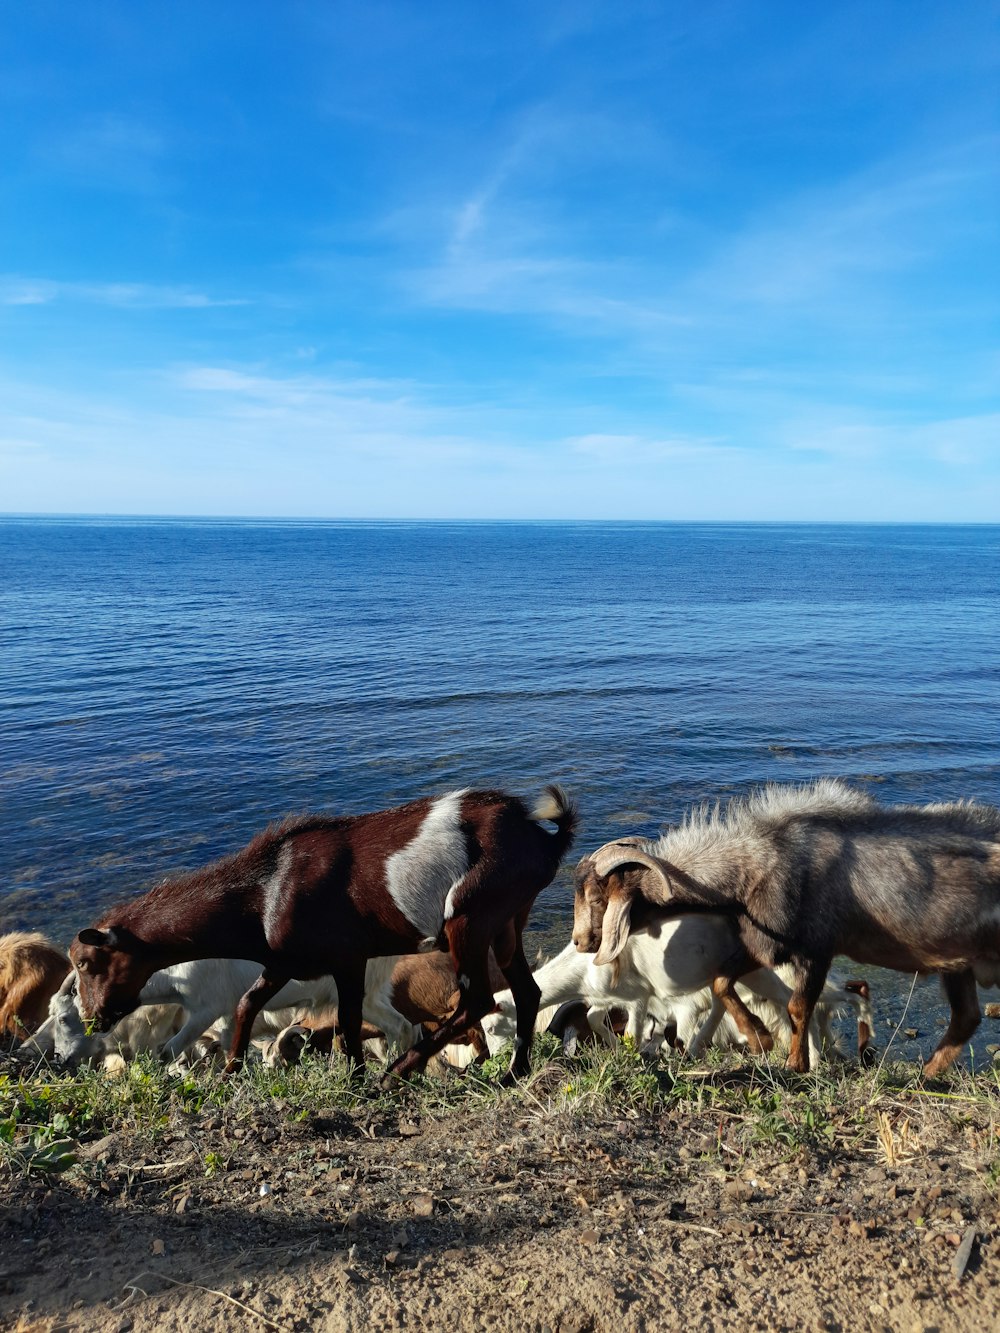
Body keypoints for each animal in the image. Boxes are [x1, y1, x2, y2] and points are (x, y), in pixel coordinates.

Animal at [70, 778, 576, 1082]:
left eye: (87, 964)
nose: (93, 1018)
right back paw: (514, 1072)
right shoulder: (285, 963)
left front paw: (356, 1078)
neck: (267, 890)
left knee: (477, 1000)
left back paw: (396, 1073)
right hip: (507, 921)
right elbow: (248, 1003)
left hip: (470, 917)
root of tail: (542, 838)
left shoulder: (347, 958)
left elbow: (348, 1022)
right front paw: (232, 1070)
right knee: (526, 992)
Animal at [576, 778, 1000, 1071]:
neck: (760, 861)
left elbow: (799, 1006)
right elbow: (722, 981)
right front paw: (759, 1038)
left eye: (597, 899)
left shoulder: (815, 949)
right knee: (966, 1018)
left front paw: (795, 1064)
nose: (580, 942)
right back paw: (925, 1076)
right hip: (958, 964)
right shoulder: (767, 944)